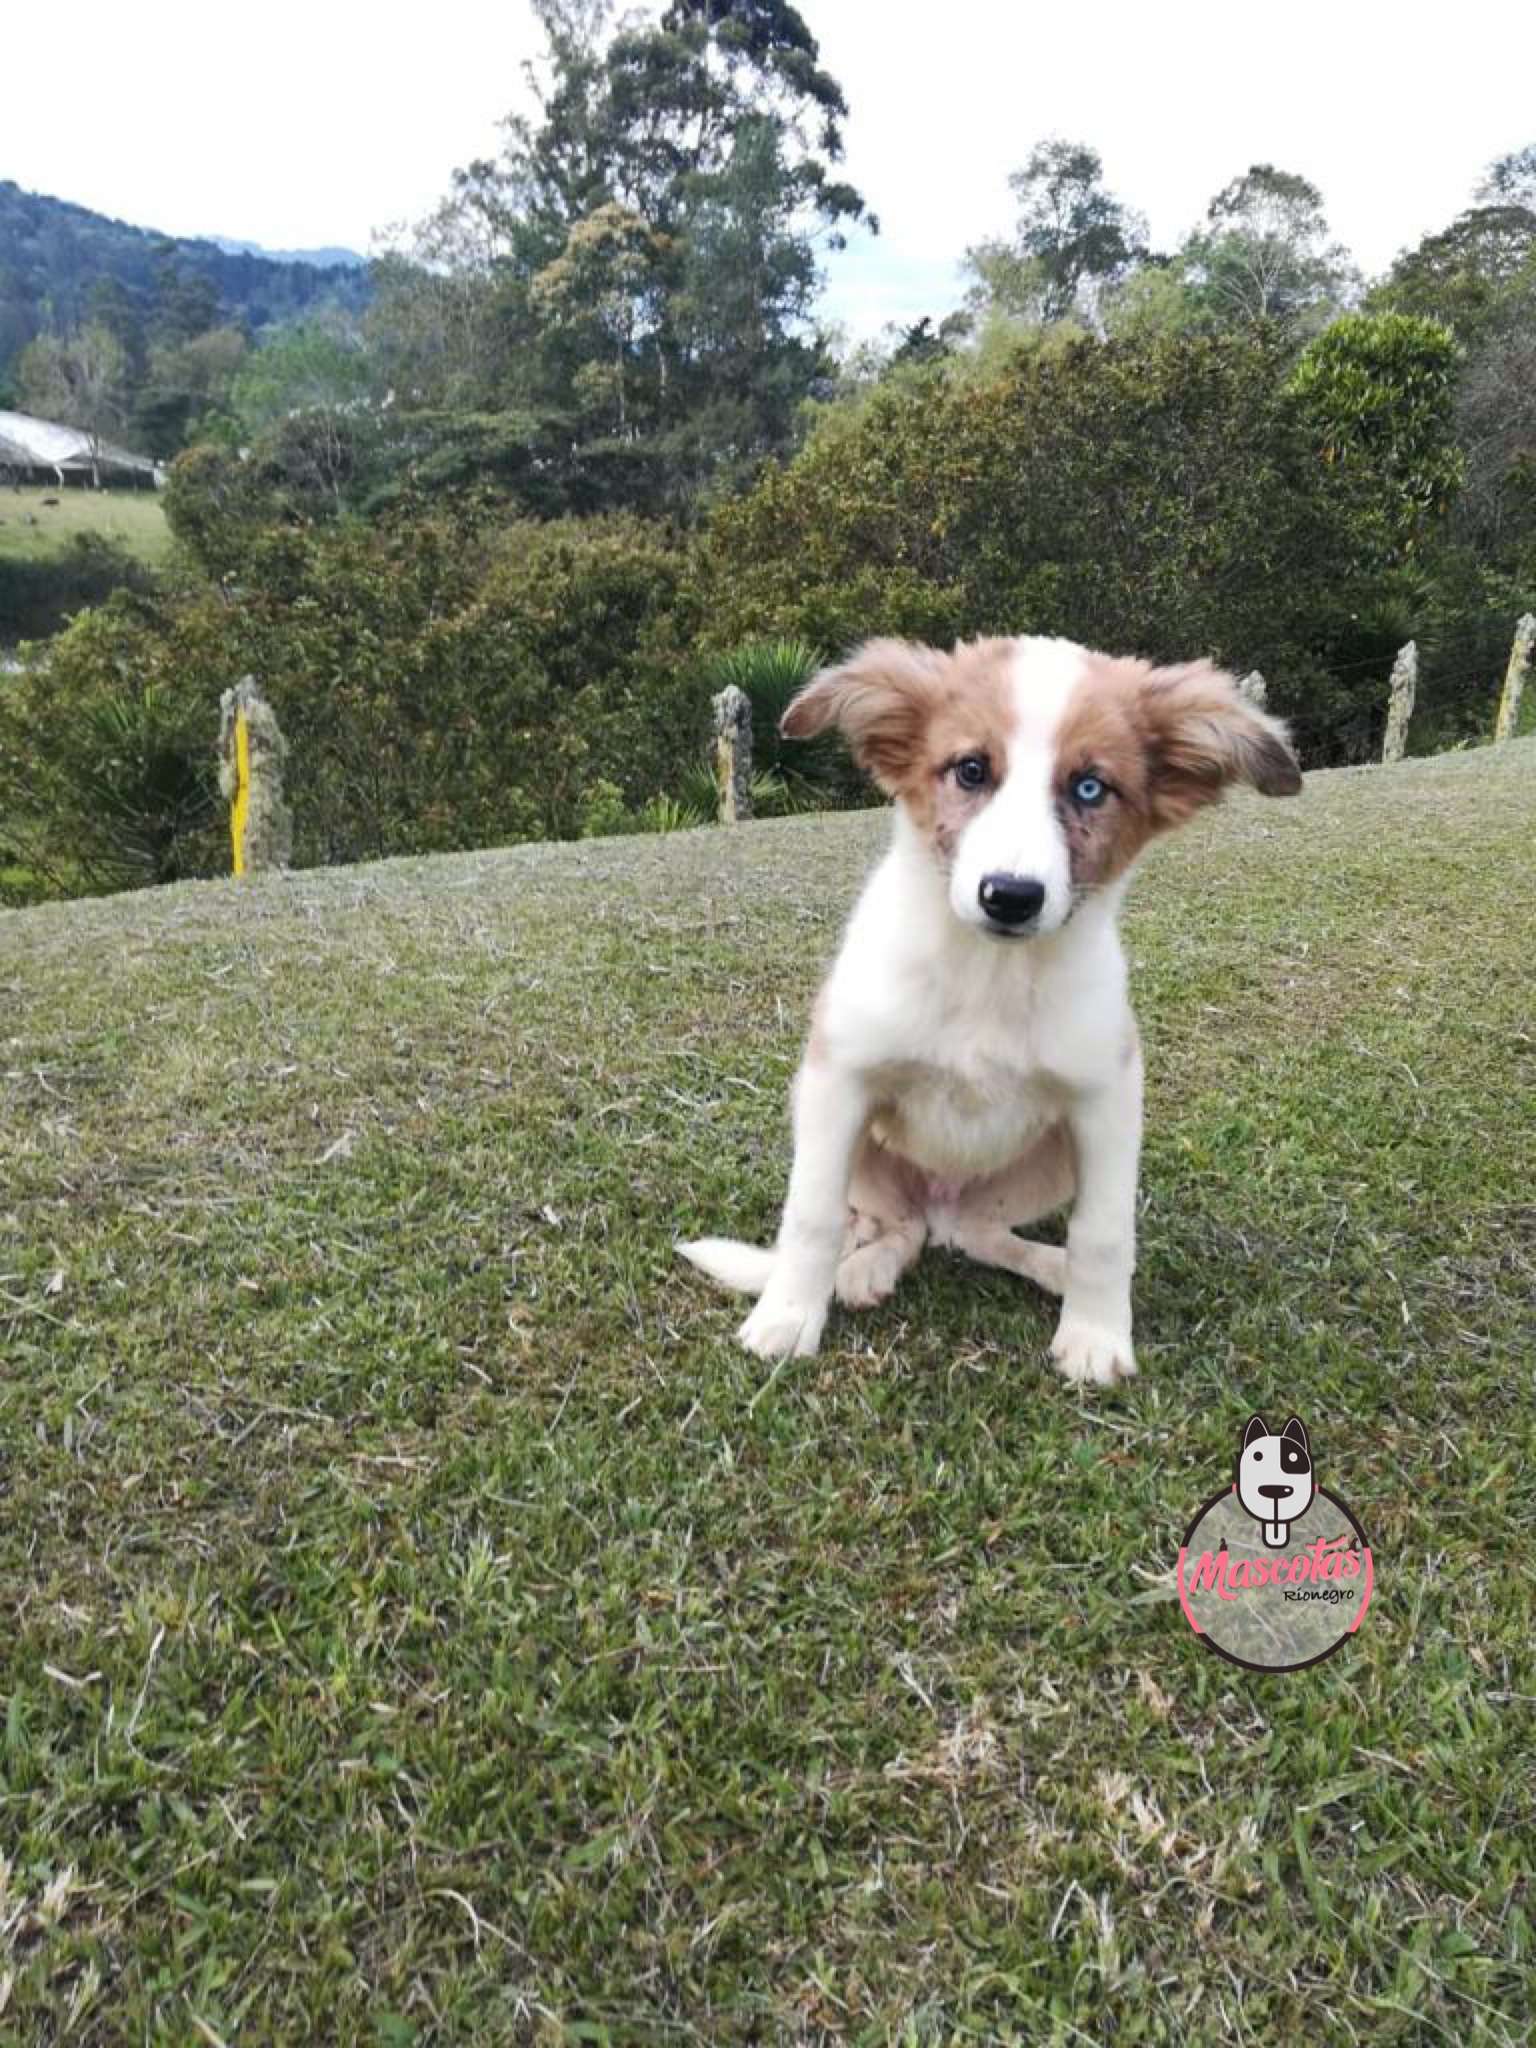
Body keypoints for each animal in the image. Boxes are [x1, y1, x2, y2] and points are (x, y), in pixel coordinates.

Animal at [684, 630, 1302, 1384]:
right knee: (894, 1226)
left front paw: (1096, 1334)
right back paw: (862, 1271)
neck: (989, 973)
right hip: (839, 1131)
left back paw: (1045, 1267)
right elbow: (812, 1215)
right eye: (971, 770)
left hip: (1043, 1163)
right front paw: (787, 1316)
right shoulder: (840, 1079)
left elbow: (1104, 1232)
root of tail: (940, 1204)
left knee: (972, 1233)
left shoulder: (1107, 1098)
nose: (1011, 896)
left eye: (1089, 787)